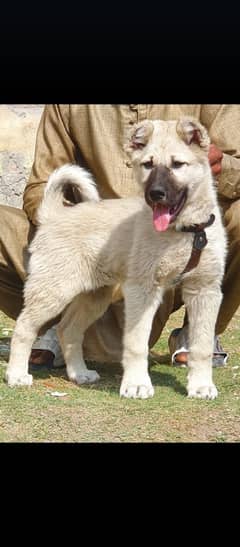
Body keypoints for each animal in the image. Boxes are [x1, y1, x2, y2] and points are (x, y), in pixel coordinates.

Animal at [6, 116, 227, 398]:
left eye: (178, 164)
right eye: (147, 164)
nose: (155, 194)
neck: (186, 232)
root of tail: (54, 215)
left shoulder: (205, 291)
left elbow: (201, 346)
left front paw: (201, 386)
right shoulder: (142, 290)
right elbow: (136, 343)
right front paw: (137, 384)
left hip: (95, 295)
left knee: (69, 329)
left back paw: (79, 373)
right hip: (53, 289)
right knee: (24, 327)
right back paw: (16, 375)